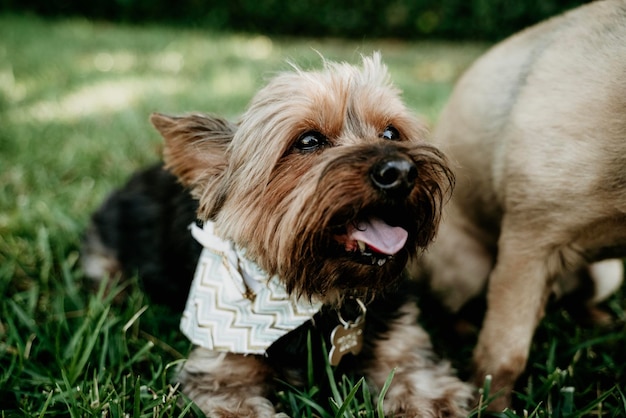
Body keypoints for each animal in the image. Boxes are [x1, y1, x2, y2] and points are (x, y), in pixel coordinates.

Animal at [84, 54, 472, 416]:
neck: (319, 293)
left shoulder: (404, 351)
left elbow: (424, 388)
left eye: (391, 133)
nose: (401, 170)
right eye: (309, 140)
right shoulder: (222, 370)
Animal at [420, 0, 624, 412]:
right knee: (451, 311)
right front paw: (492, 407)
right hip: (469, 270)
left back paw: (594, 319)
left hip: (606, 274)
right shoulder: (527, 248)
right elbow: (503, 355)